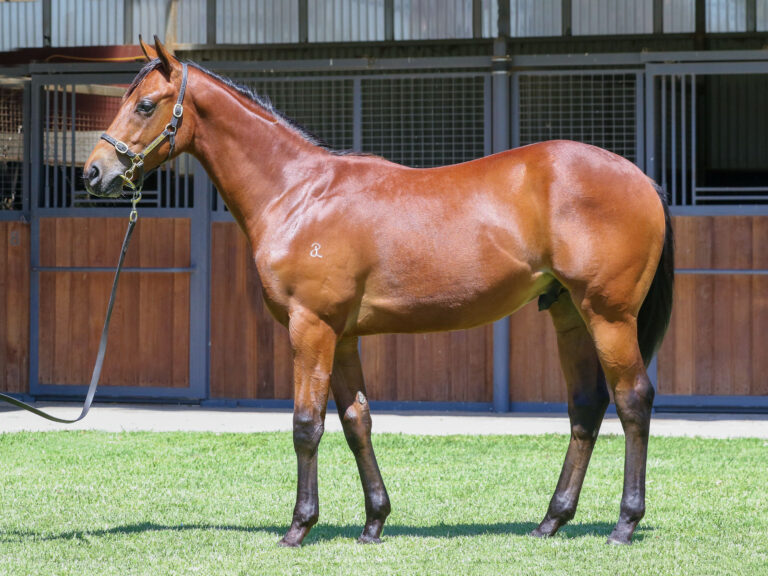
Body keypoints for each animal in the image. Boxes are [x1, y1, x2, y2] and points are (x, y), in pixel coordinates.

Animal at [82, 38, 672, 548]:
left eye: (146, 105)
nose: (93, 172)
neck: (299, 194)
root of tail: (640, 177)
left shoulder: (311, 327)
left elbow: (306, 425)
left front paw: (299, 527)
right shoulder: (341, 336)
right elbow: (356, 422)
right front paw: (374, 521)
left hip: (608, 315)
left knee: (633, 400)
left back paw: (624, 523)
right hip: (569, 314)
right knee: (586, 405)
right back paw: (552, 520)